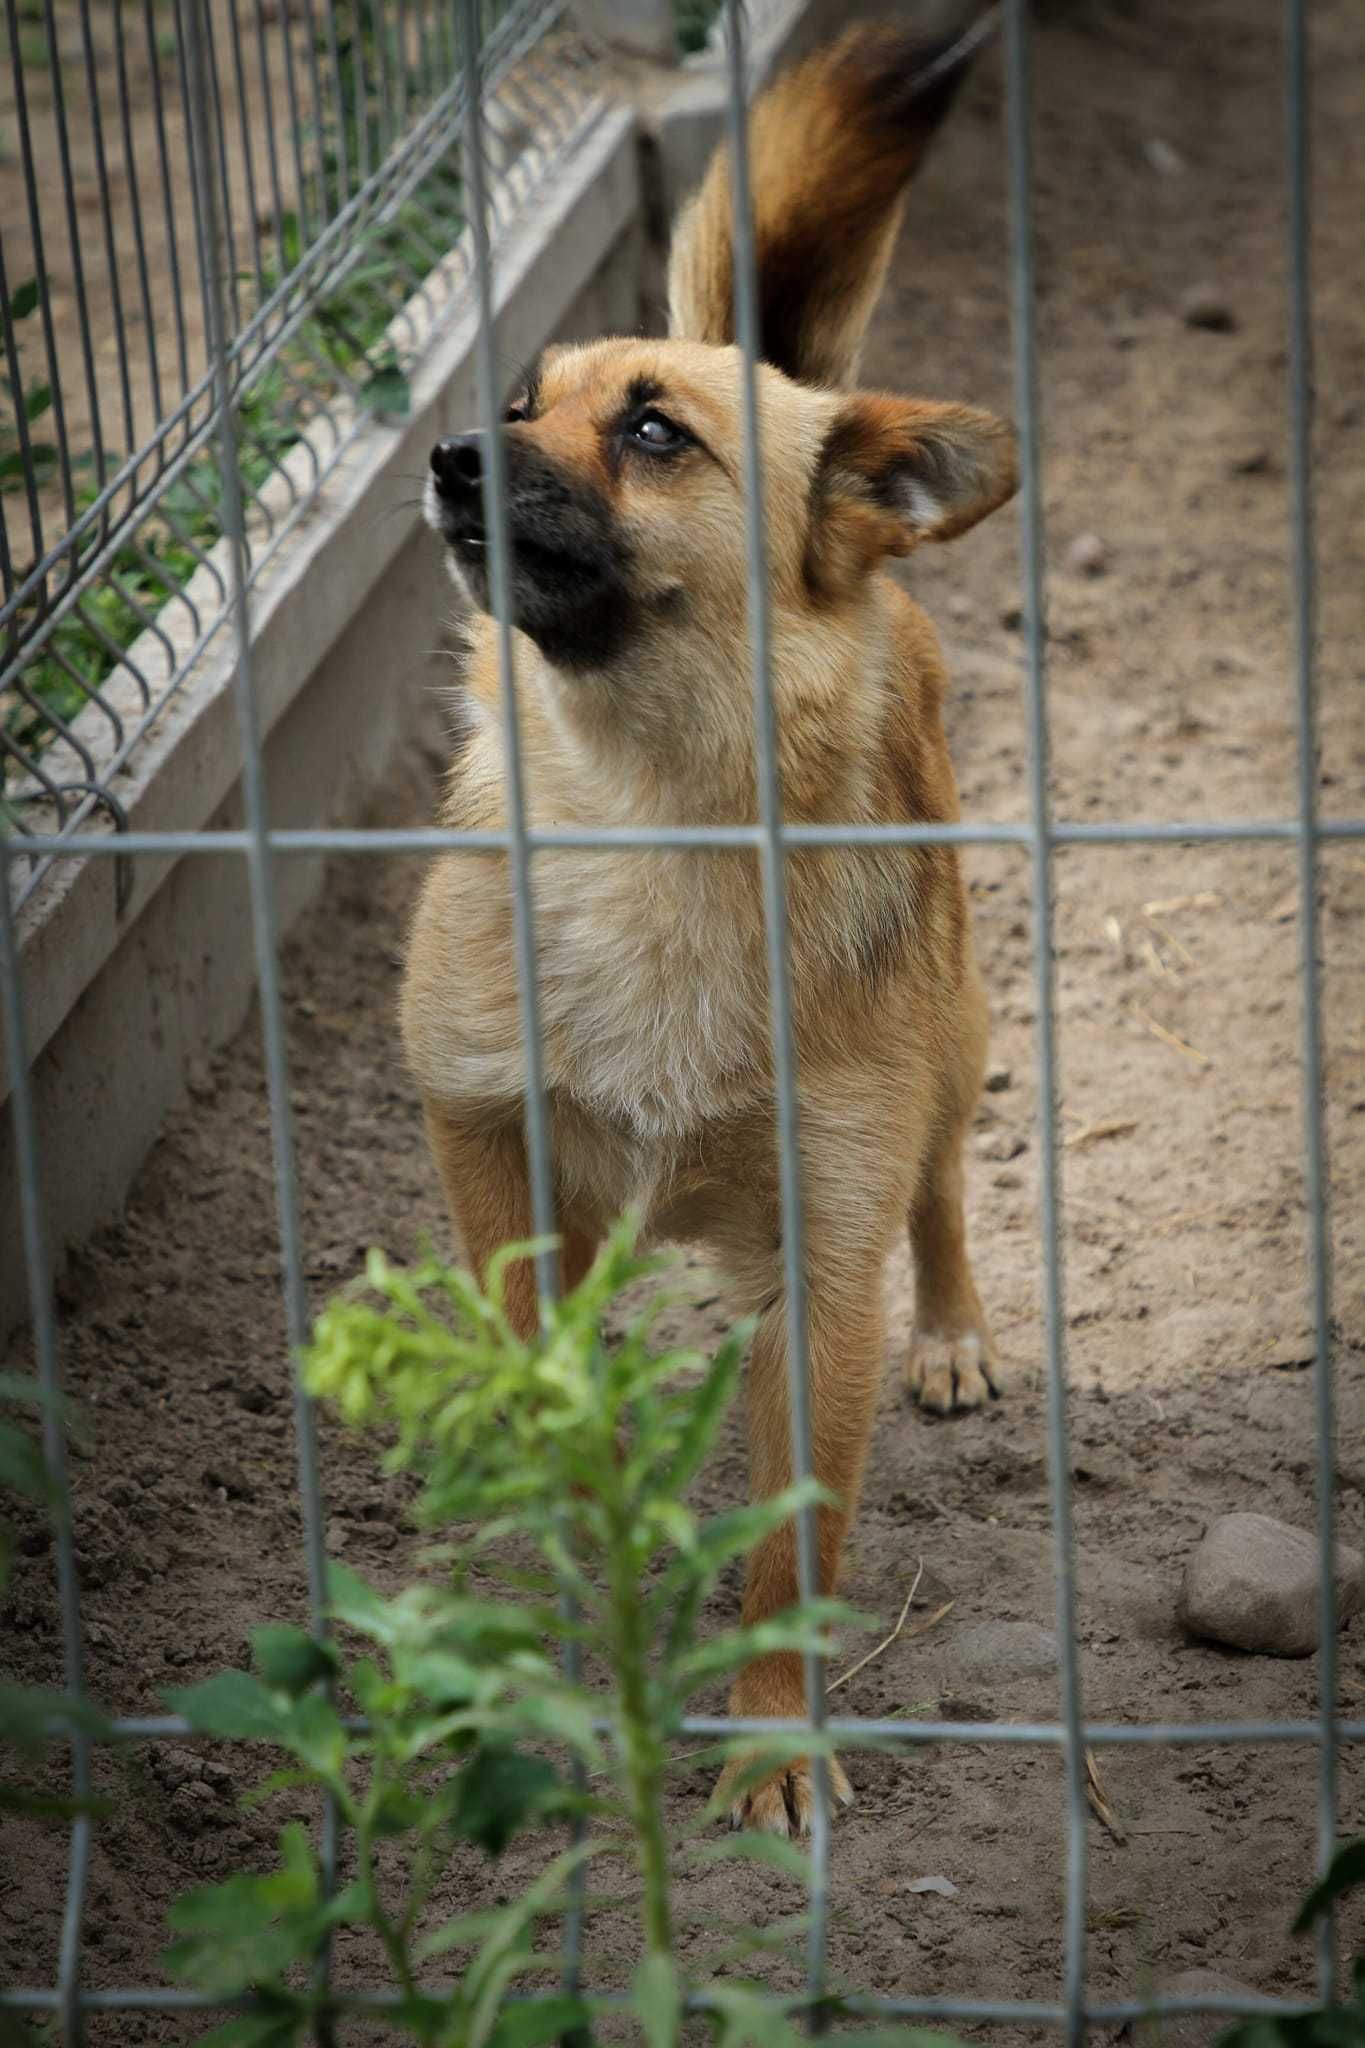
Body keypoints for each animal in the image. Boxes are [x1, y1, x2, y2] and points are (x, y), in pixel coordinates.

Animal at [401, 12, 1019, 1843]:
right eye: (518, 403)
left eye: (656, 432)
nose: (450, 454)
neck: (647, 812)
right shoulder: (486, 1134)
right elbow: (540, 1390)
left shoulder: (820, 1267)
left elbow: (789, 1555)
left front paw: (768, 1745)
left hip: (949, 1039)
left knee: (942, 1189)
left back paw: (952, 1334)